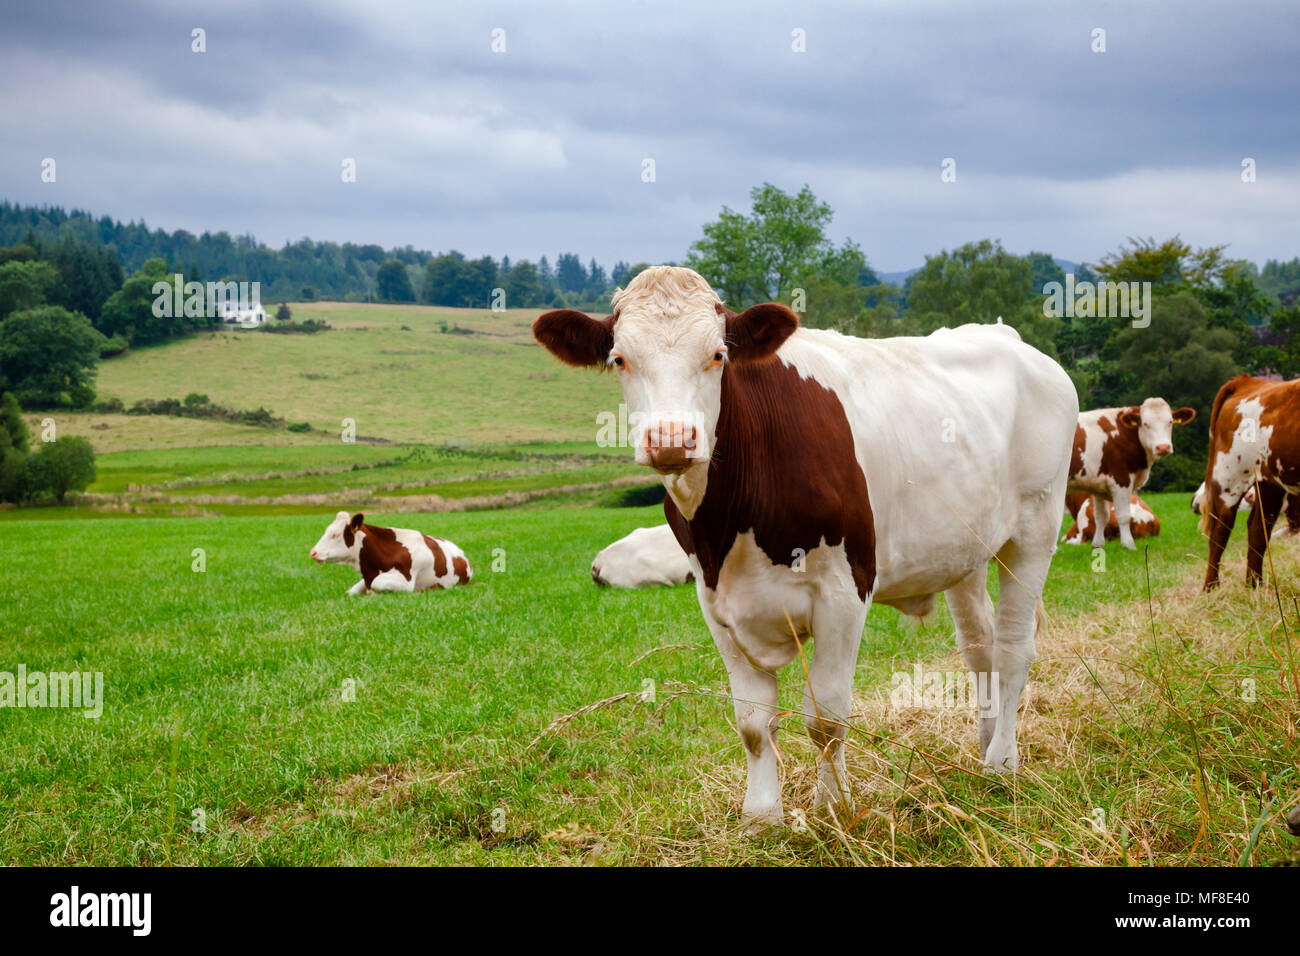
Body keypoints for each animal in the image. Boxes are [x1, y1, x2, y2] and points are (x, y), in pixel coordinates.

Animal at [533, 265, 1078, 828]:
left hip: (1034, 530)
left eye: (718, 355)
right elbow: (753, 722)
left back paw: (1001, 764)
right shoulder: (715, 601)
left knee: (1013, 648)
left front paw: (834, 808)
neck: (731, 525)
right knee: (980, 646)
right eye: (620, 359)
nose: (671, 439)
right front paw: (761, 816)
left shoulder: (844, 593)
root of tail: (1006, 336)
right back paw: (985, 747)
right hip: (963, 551)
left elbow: (827, 718)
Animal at [1067, 399, 1195, 550]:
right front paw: (1128, 545)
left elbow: (1101, 516)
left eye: (1170, 422)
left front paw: (1098, 546)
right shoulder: (1121, 480)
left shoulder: (1098, 485)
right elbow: (1123, 515)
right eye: (1145, 423)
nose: (1163, 447)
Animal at [1200, 375, 1300, 589]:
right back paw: (1211, 587)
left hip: (1269, 482)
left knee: (1258, 529)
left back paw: (1254, 585)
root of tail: (1249, 381)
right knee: (1219, 532)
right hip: (1229, 475)